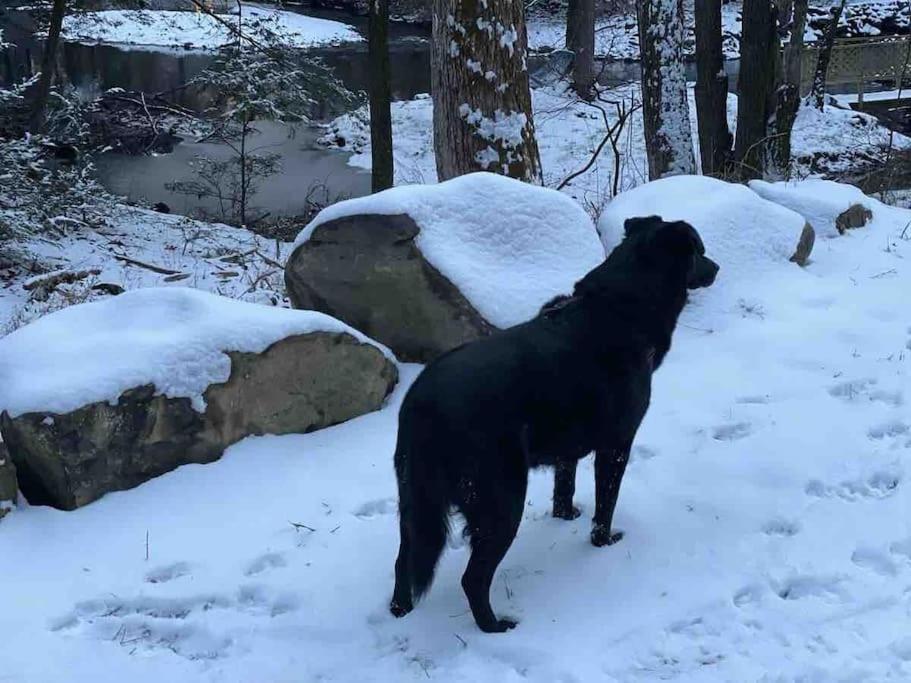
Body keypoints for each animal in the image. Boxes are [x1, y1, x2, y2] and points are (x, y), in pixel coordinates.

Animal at [390, 216, 720, 632]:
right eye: (699, 250)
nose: (717, 268)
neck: (620, 309)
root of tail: (423, 408)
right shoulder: (616, 444)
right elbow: (605, 504)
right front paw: (603, 542)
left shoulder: (569, 445)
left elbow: (565, 486)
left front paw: (565, 516)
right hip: (501, 499)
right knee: (473, 578)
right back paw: (494, 627)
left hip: (414, 501)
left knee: (404, 559)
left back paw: (400, 610)